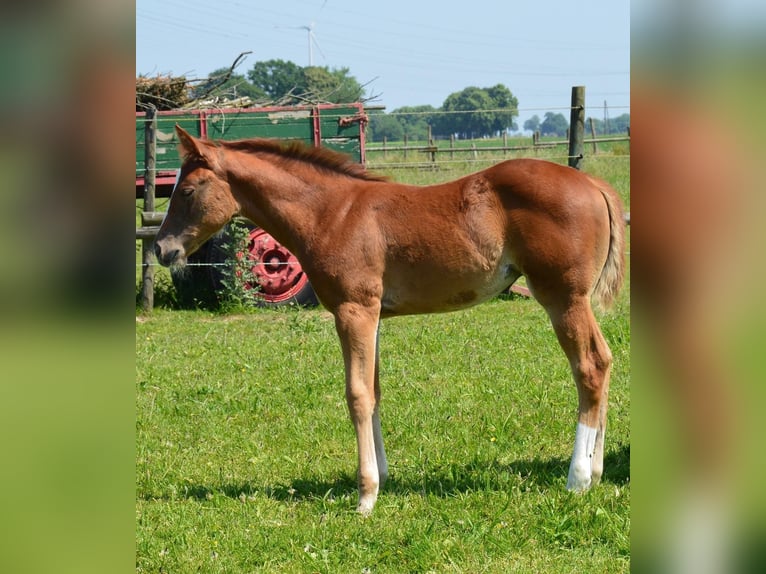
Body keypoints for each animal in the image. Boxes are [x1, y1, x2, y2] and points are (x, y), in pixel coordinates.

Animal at [154, 126, 624, 516]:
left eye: (188, 190)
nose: (162, 249)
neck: (331, 213)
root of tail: (594, 183)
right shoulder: (374, 314)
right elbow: (376, 391)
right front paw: (381, 476)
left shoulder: (353, 309)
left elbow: (357, 394)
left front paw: (366, 496)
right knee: (605, 361)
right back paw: (597, 472)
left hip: (563, 298)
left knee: (589, 367)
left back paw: (577, 478)